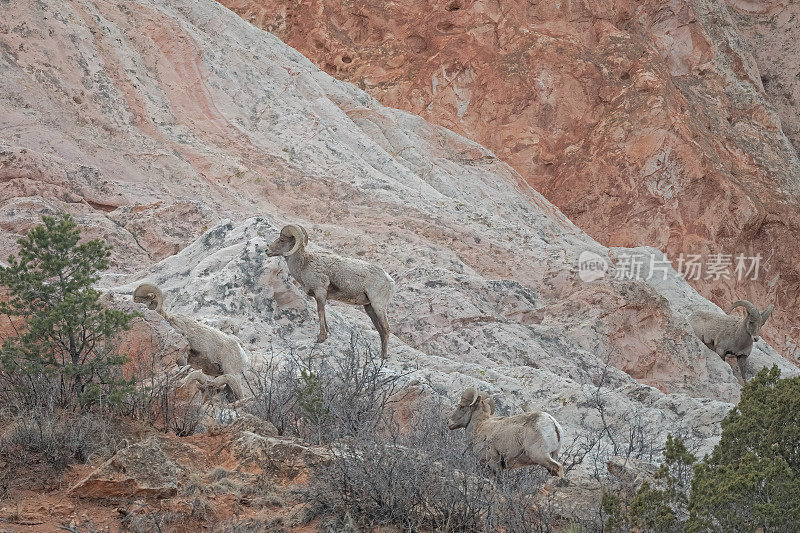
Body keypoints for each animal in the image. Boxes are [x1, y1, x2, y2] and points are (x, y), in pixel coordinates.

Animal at [268, 223, 396, 358]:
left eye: (281, 240)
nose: (267, 251)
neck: (304, 264)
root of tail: (389, 280)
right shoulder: (320, 296)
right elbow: (323, 313)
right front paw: (327, 333)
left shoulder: (320, 291)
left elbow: (320, 312)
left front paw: (321, 337)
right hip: (369, 307)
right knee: (380, 330)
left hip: (378, 305)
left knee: (386, 329)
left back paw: (383, 357)